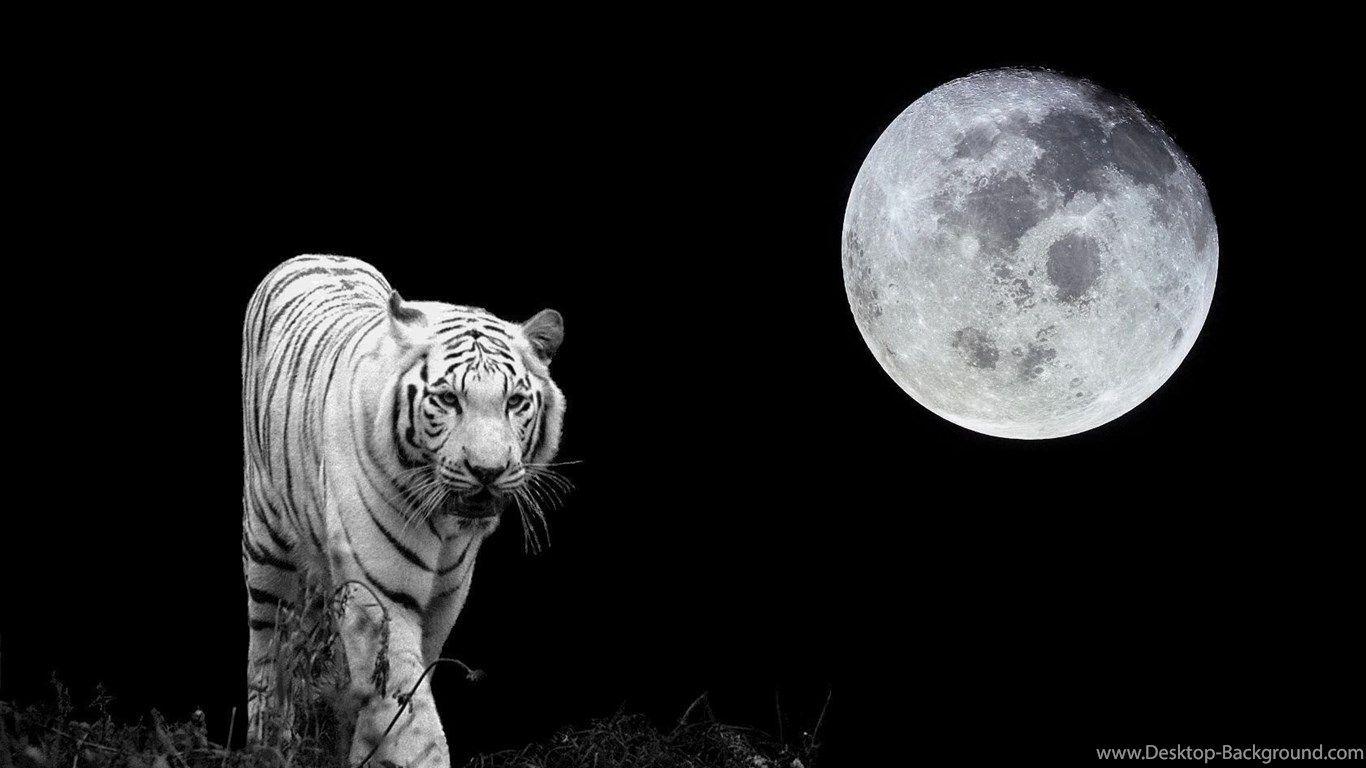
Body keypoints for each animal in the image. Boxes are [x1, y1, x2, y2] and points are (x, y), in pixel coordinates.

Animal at [241, 254, 567, 768]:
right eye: (448, 399)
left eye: (514, 401)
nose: (488, 471)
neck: (449, 525)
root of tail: (315, 254)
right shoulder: (382, 593)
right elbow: (410, 712)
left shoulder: (445, 597)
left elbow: (396, 692)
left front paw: (367, 750)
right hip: (266, 543)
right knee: (268, 647)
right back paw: (268, 741)